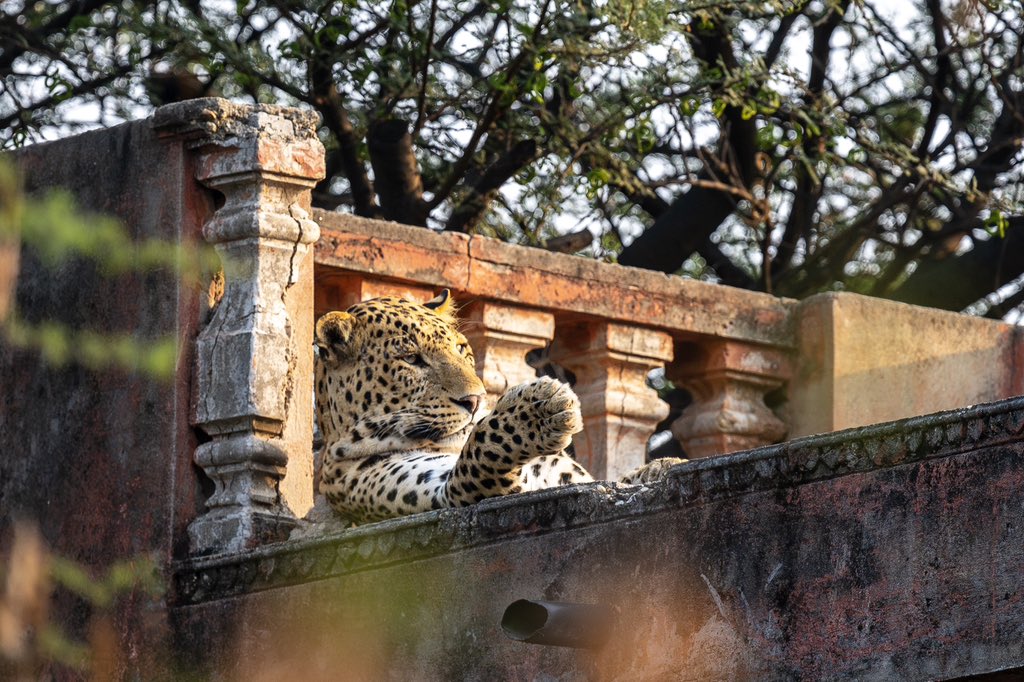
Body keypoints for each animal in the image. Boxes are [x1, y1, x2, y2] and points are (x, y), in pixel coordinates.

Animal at [311, 286, 679, 520]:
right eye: (411, 359)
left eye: (461, 348)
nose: (475, 400)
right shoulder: (449, 490)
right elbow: (481, 445)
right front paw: (538, 410)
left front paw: (661, 466)